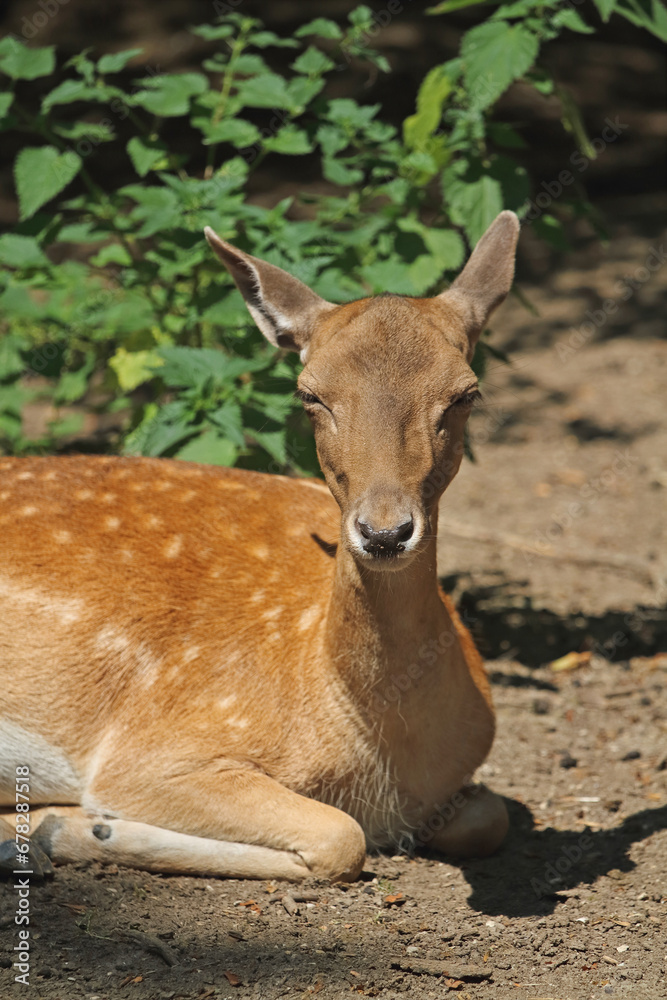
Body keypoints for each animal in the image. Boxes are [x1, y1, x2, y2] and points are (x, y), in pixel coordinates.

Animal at [0, 211, 520, 884]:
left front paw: (57, 828)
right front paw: (69, 826)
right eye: (309, 394)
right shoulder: (156, 748)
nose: (384, 532)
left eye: (465, 394)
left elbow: (490, 817)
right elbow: (340, 836)